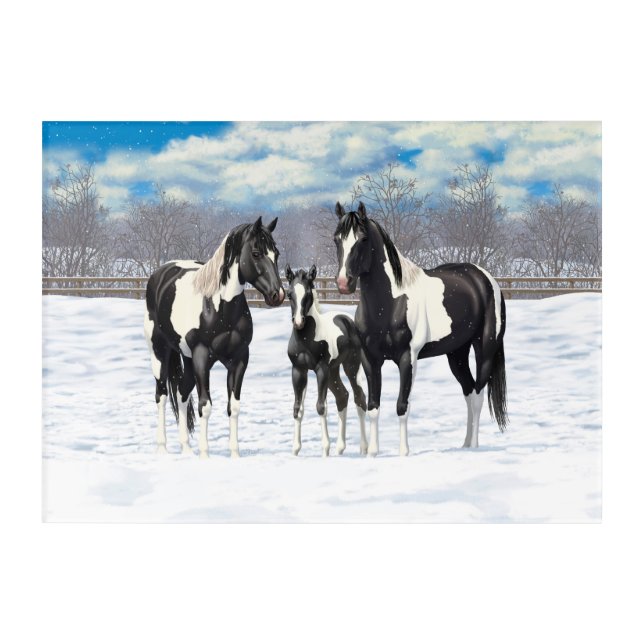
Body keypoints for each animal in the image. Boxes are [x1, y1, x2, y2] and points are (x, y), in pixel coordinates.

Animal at [144, 216, 285, 458]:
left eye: (276, 254)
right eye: (256, 253)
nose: (278, 295)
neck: (219, 308)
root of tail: (160, 274)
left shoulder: (239, 359)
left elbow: (234, 407)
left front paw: (234, 454)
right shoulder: (202, 357)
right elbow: (205, 406)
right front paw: (205, 454)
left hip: (187, 358)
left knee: (181, 393)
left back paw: (186, 448)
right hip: (159, 351)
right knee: (161, 395)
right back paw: (162, 448)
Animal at [285, 264, 368, 457]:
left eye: (308, 294)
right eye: (289, 294)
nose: (298, 322)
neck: (306, 338)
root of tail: (347, 320)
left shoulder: (320, 369)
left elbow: (321, 406)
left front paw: (325, 449)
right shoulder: (298, 370)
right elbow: (297, 408)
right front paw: (295, 450)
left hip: (350, 367)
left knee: (359, 397)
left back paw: (364, 448)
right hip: (333, 372)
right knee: (342, 396)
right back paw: (340, 448)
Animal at [333, 201, 508, 456]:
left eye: (363, 239)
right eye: (336, 239)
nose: (344, 283)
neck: (389, 303)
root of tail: (485, 278)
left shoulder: (408, 359)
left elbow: (402, 406)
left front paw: (404, 452)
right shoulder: (370, 360)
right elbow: (373, 406)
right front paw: (373, 452)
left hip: (484, 350)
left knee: (477, 395)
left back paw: (474, 446)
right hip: (456, 354)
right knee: (468, 391)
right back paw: (464, 445)